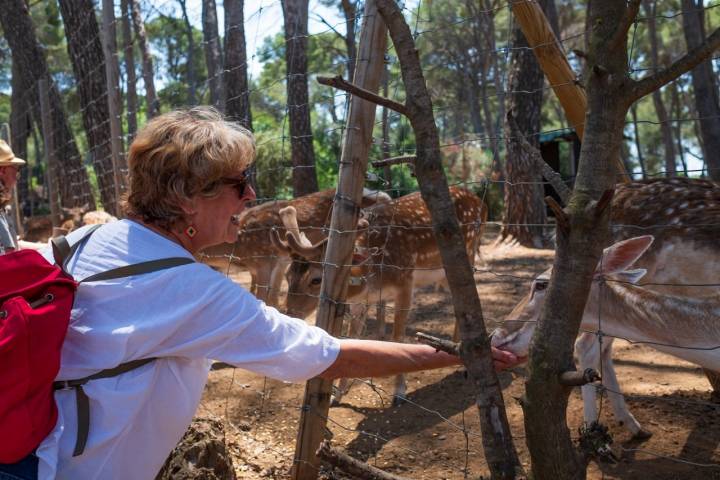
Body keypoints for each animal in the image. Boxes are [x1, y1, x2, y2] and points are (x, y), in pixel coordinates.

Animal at [276, 186, 490, 404]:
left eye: (316, 279)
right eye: (288, 275)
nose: (289, 312)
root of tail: (482, 203)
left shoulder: (406, 281)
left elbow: (397, 338)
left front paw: (399, 393)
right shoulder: (361, 302)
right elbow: (354, 337)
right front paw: (338, 394)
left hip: (468, 254)